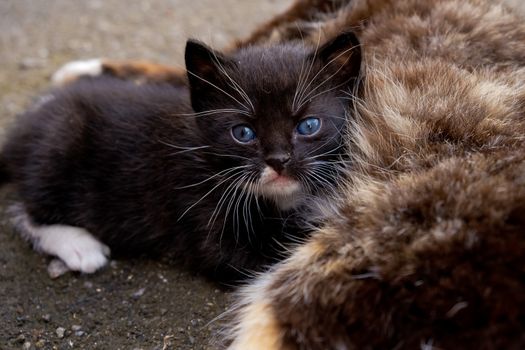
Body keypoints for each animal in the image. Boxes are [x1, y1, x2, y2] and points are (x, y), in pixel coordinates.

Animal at [0, 31, 360, 280]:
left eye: (308, 125)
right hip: (59, 143)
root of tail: (27, 125)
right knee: (26, 208)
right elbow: (273, 253)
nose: (279, 160)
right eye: (243, 133)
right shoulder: (199, 209)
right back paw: (78, 245)